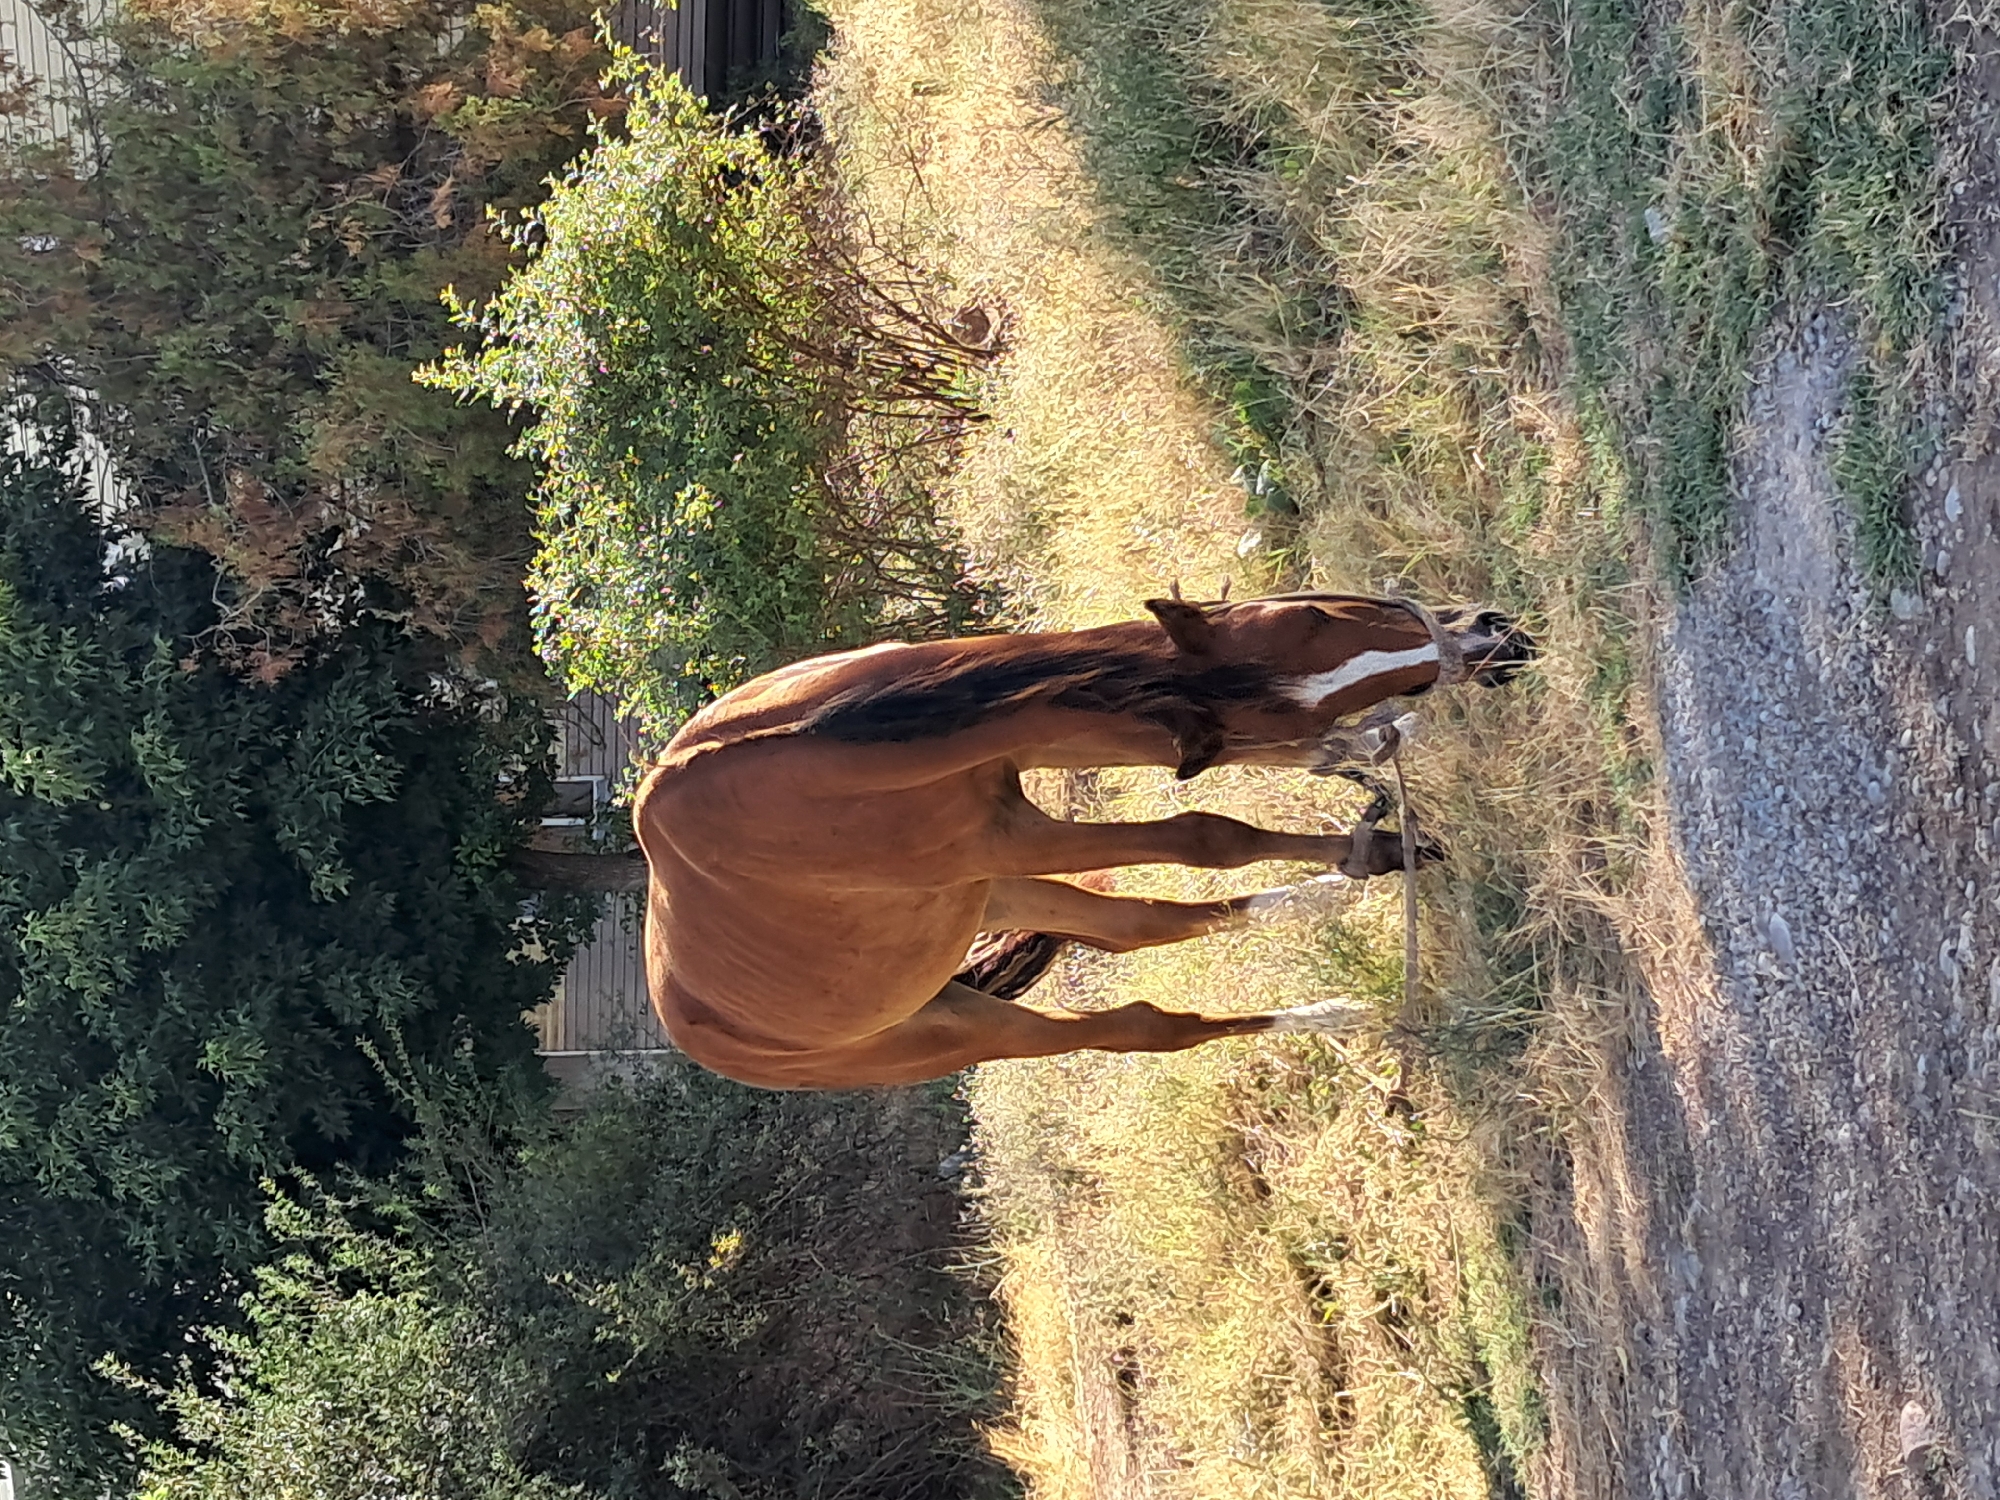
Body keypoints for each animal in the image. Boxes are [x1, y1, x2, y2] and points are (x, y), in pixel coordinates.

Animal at [632, 591, 1535, 1089]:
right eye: (1307, 614)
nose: (1497, 641)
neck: (805, 749)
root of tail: (687, 1022)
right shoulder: (1015, 840)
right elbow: (1205, 835)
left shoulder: (1026, 770)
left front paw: (1378, 798)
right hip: (973, 1019)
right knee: (1146, 1026)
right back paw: (1348, 1010)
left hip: (974, 908)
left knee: (1140, 928)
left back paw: (1360, 878)